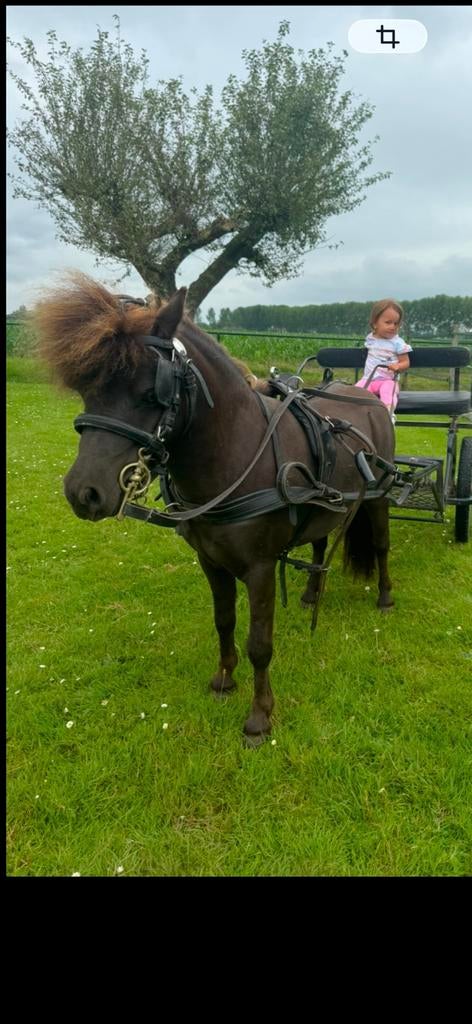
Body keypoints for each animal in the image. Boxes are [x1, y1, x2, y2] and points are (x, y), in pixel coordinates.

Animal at [35, 273, 396, 745]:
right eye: (86, 388)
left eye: (151, 393)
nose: (83, 492)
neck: (236, 452)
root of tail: (365, 394)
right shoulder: (209, 560)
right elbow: (224, 621)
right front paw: (224, 680)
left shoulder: (260, 568)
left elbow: (259, 643)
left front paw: (260, 716)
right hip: (324, 505)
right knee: (319, 544)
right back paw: (310, 595)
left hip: (380, 499)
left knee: (382, 547)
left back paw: (386, 598)